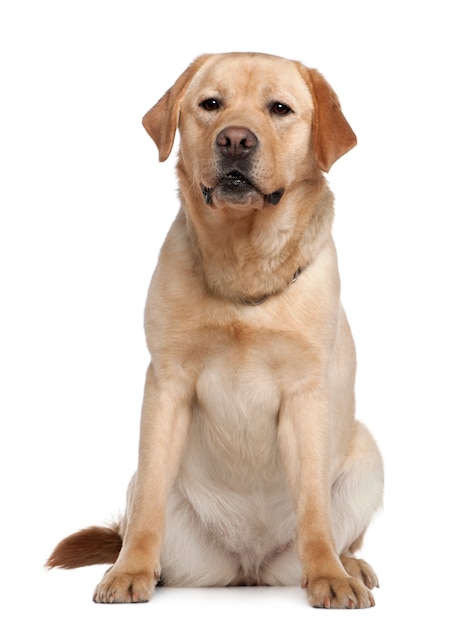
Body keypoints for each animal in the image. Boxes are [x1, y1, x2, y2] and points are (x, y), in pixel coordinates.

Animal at [48, 51, 386, 608]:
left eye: (279, 109)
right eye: (211, 104)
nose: (235, 140)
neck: (242, 260)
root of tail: (248, 569)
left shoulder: (305, 395)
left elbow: (314, 508)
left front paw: (329, 577)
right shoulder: (167, 384)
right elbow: (148, 505)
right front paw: (130, 571)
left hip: (368, 458)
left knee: (339, 532)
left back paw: (349, 565)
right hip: (155, 501)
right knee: (141, 513)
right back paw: (142, 564)